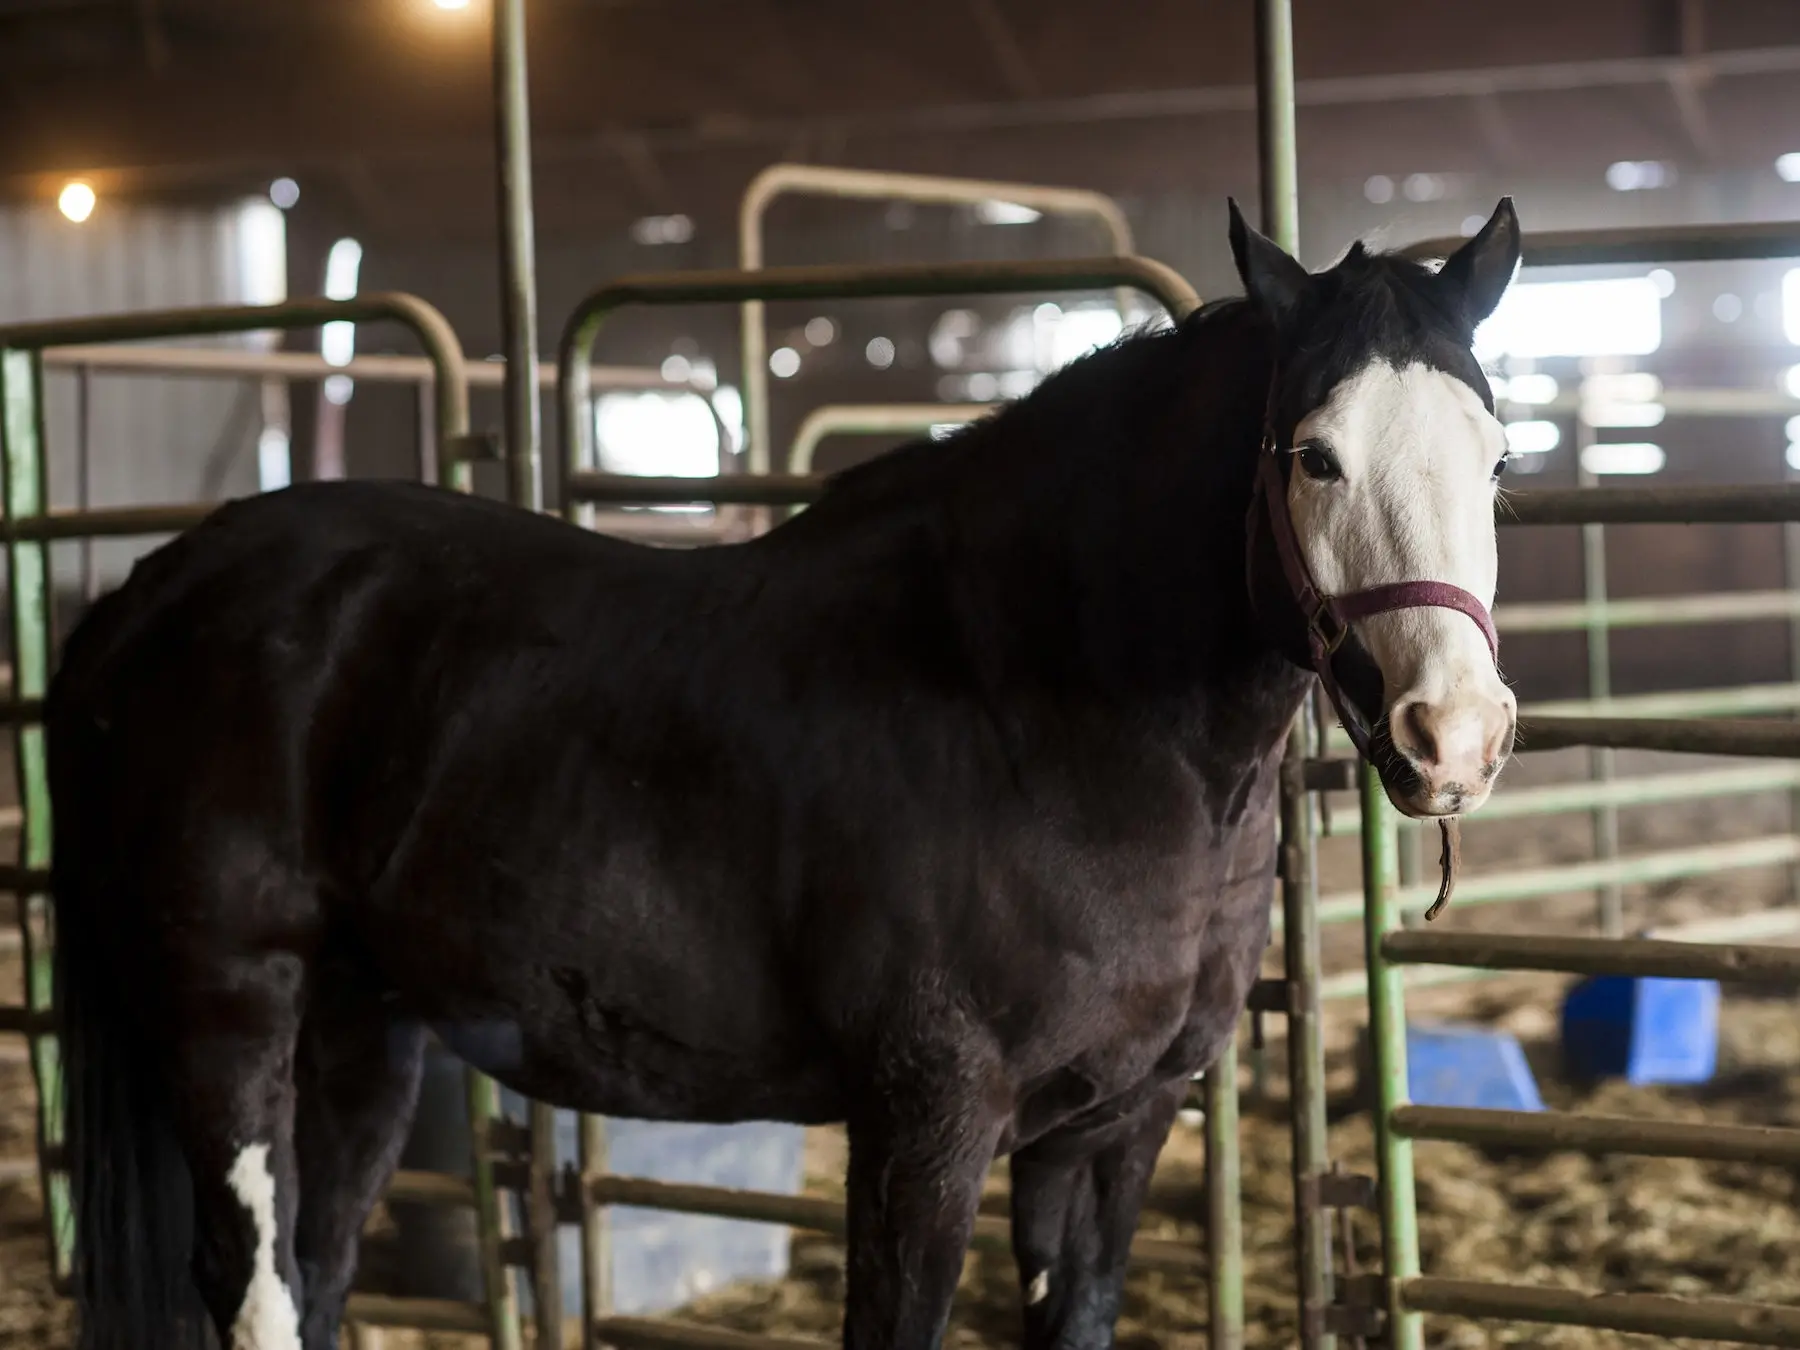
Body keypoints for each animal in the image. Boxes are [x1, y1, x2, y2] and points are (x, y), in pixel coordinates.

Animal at [45, 203, 1519, 1350]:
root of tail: (156, 591)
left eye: (1499, 458)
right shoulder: (926, 1125)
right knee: (254, 1283)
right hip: (230, 1011)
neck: (1036, 700)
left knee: (323, 1263)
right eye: (1314, 456)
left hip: (362, 1026)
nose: (1454, 735)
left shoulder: (1110, 1130)